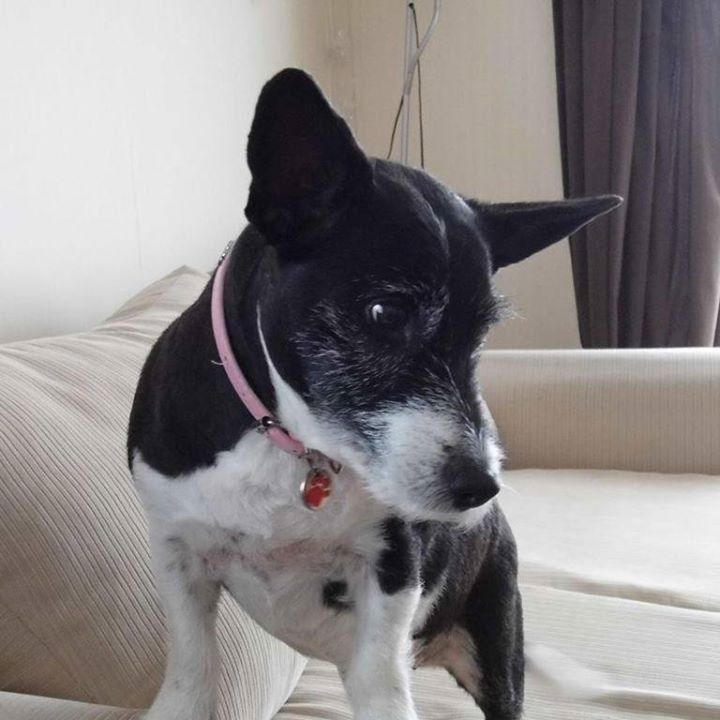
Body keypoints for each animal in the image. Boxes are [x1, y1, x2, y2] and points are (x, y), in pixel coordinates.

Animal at [127, 68, 621, 720]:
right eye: (386, 312)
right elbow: (191, 667)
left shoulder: (393, 564)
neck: (290, 447)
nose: (481, 487)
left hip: (496, 637)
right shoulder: (178, 553)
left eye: (482, 333)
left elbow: (380, 676)